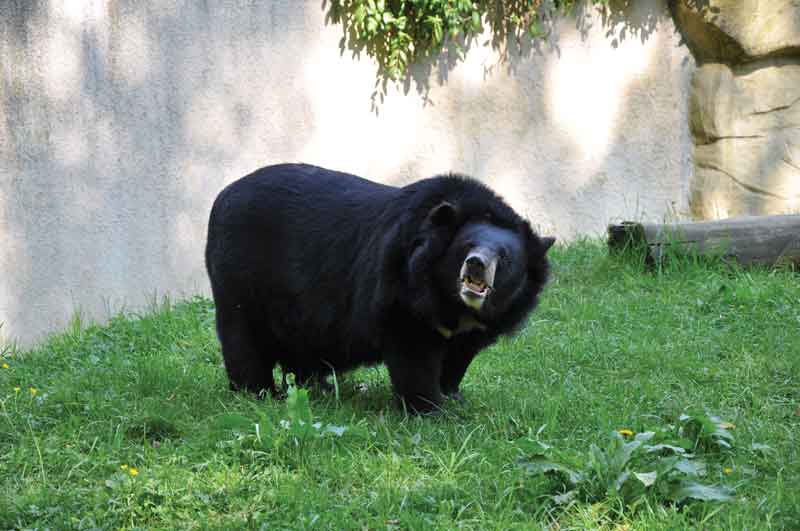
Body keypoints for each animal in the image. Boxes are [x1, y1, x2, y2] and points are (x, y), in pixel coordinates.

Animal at [206, 164, 552, 414]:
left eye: (504, 258)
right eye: (466, 246)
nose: (476, 265)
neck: (452, 303)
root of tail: (222, 195)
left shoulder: (478, 326)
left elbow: (458, 358)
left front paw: (453, 397)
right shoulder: (401, 289)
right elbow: (412, 352)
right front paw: (429, 408)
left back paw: (316, 388)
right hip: (240, 277)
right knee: (244, 338)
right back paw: (258, 392)